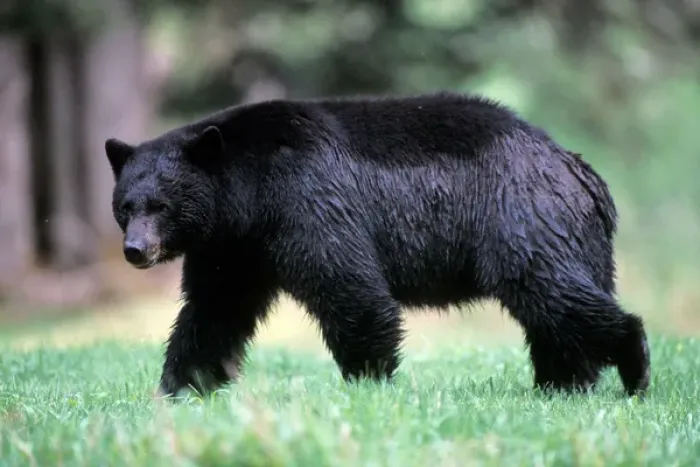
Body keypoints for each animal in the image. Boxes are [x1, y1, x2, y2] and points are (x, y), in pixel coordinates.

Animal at [104, 91, 651, 399]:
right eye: (127, 206)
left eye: (162, 205)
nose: (135, 250)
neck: (250, 193)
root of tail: (578, 169)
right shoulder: (233, 248)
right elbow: (213, 311)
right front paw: (178, 387)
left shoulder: (309, 202)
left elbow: (349, 287)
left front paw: (368, 381)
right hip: (572, 237)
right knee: (555, 310)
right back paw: (565, 383)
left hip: (519, 217)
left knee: (551, 291)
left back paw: (632, 366)